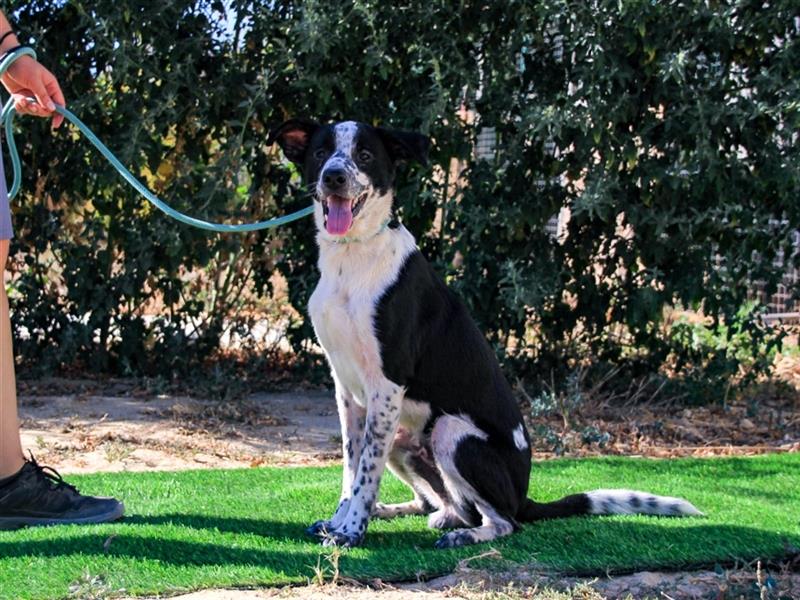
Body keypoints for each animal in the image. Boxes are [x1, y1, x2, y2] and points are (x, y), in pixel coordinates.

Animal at [268, 119, 700, 552]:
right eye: (321, 153)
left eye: (365, 155)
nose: (334, 177)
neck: (352, 256)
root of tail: (524, 497)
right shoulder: (347, 390)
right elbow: (351, 467)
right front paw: (340, 521)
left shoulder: (387, 384)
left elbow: (365, 474)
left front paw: (352, 530)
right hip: (403, 439)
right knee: (440, 505)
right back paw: (408, 513)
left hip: (450, 432)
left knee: (506, 521)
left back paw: (464, 534)